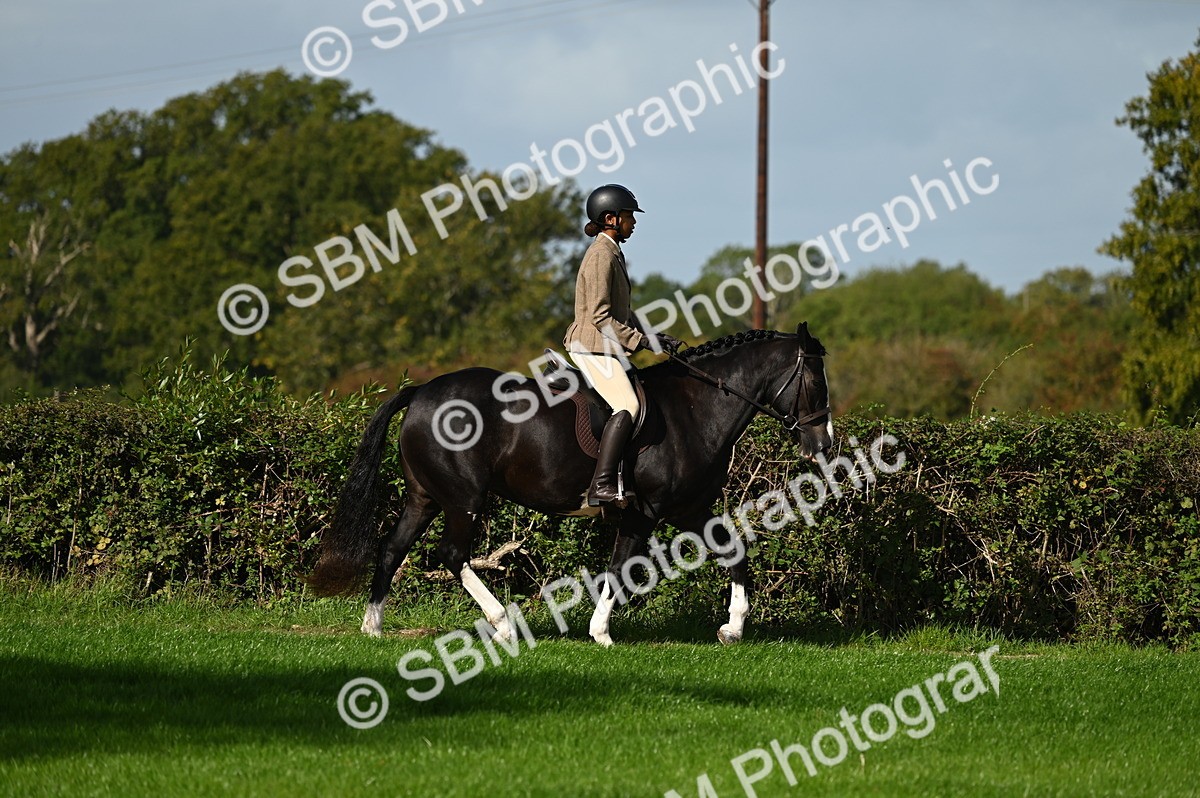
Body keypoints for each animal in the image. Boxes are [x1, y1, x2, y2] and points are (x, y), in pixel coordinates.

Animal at [307, 323, 832, 645]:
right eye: (816, 381)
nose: (822, 444)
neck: (695, 409)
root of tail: (420, 393)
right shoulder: (646, 512)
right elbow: (622, 569)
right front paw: (602, 633)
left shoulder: (689, 508)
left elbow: (733, 551)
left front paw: (733, 629)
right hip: (463, 498)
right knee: (452, 555)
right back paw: (503, 625)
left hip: (425, 497)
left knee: (392, 547)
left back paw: (373, 627)